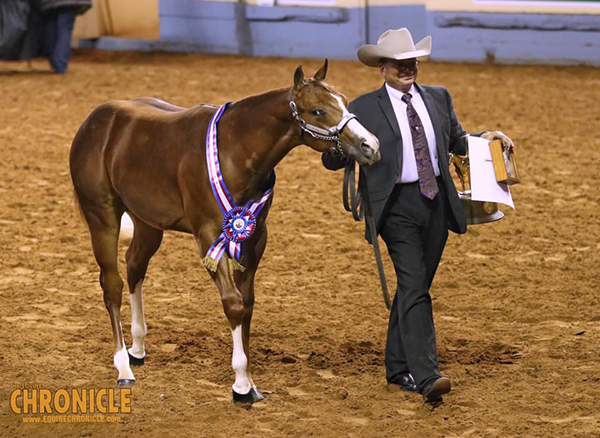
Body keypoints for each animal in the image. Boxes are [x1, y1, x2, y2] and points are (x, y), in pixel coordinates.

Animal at [70, 60, 380, 406]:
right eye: (317, 111)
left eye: (344, 101)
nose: (370, 146)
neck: (234, 149)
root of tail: (95, 120)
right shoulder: (208, 236)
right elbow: (233, 304)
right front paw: (242, 385)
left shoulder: (255, 238)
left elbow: (248, 304)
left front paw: (248, 381)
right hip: (102, 217)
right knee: (112, 285)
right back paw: (123, 366)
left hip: (147, 222)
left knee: (135, 266)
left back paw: (138, 348)